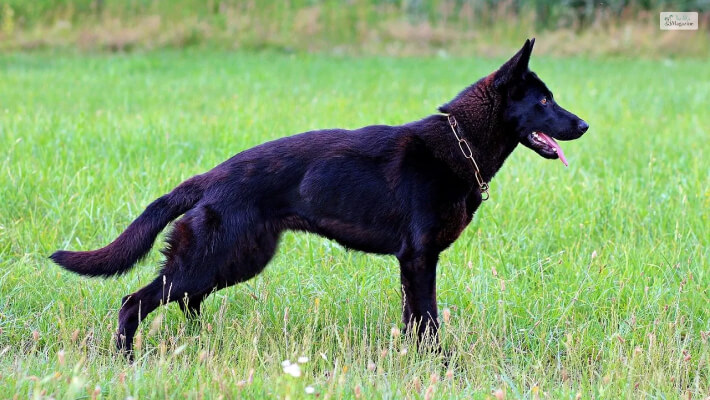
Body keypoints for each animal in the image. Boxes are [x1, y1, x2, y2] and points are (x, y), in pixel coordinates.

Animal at [51, 39, 588, 354]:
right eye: (544, 101)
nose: (584, 125)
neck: (460, 144)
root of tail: (209, 177)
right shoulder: (419, 259)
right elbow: (429, 320)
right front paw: (440, 367)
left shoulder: (413, 263)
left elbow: (415, 319)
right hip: (212, 259)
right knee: (133, 301)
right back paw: (126, 358)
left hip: (233, 260)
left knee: (187, 302)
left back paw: (202, 344)